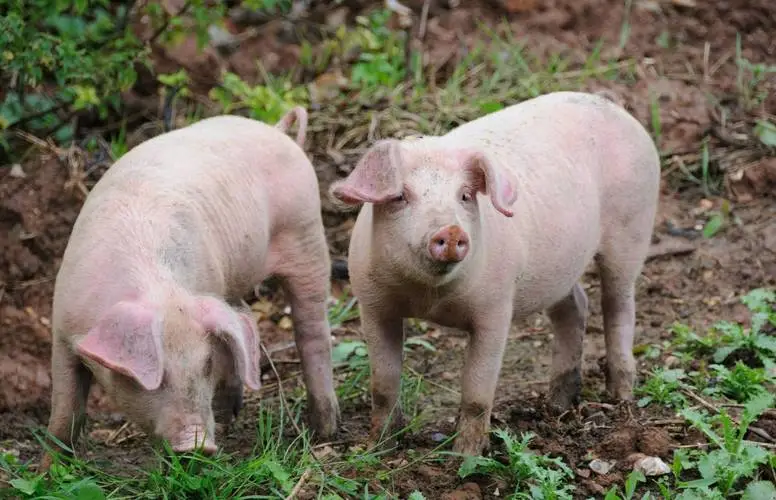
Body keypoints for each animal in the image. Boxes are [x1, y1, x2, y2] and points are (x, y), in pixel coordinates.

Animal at [41, 107, 340, 470]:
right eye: (157, 376)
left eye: (206, 364)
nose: (198, 444)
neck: (158, 289)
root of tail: (279, 131)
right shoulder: (62, 330)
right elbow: (65, 410)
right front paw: (48, 471)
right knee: (245, 318)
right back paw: (232, 414)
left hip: (307, 235)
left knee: (312, 331)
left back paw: (324, 430)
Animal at [328, 91, 660, 458]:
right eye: (401, 196)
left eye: (464, 195)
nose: (451, 231)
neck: (429, 299)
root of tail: (614, 108)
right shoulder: (373, 304)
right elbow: (383, 384)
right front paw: (378, 449)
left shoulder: (496, 308)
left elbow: (476, 391)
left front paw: (466, 457)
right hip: (562, 268)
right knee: (575, 305)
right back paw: (558, 404)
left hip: (633, 229)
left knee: (619, 305)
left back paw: (621, 397)